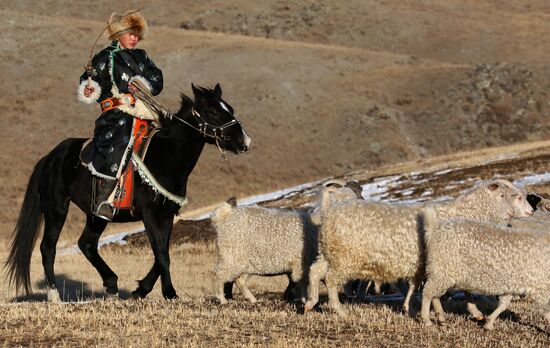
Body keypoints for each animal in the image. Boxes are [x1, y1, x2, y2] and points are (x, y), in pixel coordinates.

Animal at [5, 83, 252, 300]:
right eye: (213, 111)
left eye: (229, 108)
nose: (244, 141)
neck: (165, 158)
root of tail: (50, 157)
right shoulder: (149, 215)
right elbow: (162, 254)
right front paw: (169, 293)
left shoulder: (166, 215)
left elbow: (162, 253)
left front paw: (141, 290)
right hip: (56, 208)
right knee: (48, 248)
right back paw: (55, 295)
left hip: (97, 215)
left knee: (86, 244)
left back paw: (111, 284)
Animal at [304, 179, 536, 316]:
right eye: (512, 196)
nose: (531, 211)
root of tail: (329, 212)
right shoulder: (453, 262)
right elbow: (464, 290)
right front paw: (474, 313)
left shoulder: (434, 265)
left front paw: (427, 311)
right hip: (345, 258)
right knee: (331, 280)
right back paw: (339, 310)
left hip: (330, 253)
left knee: (314, 272)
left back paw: (310, 303)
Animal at [422, 208, 550, 330]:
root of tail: (435, 229)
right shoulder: (541, 288)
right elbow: (547, 310)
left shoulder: (513, 285)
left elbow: (503, 305)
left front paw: (489, 322)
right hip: (443, 268)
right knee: (428, 292)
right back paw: (427, 320)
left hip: (443, 271)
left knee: (436, 295)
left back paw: (442, 318)